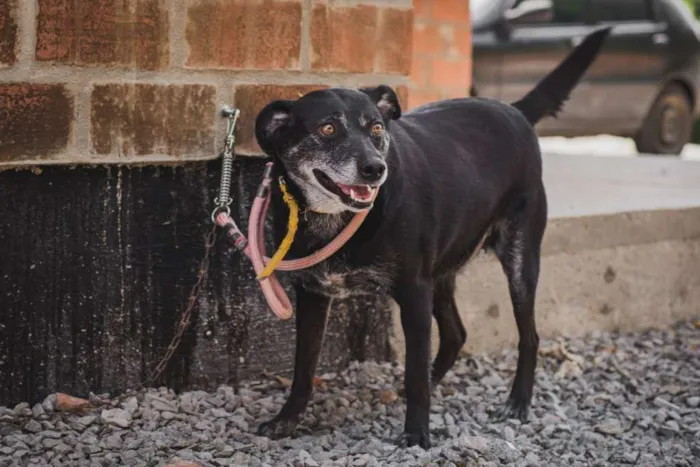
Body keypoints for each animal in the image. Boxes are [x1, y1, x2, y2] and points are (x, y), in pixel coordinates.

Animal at [253, 26, 612, 450]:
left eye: (376, 128)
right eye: (328, 128)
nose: (375, 169)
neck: (338, 220)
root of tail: (515, 111)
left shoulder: (413, 291)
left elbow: (413, 371)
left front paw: (417, 432)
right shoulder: (313, 293)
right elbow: (303, 368)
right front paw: (287, 420)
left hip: (519, 261)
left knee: (530, 336)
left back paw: (518, 402)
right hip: (441, 272)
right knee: (456, 334)